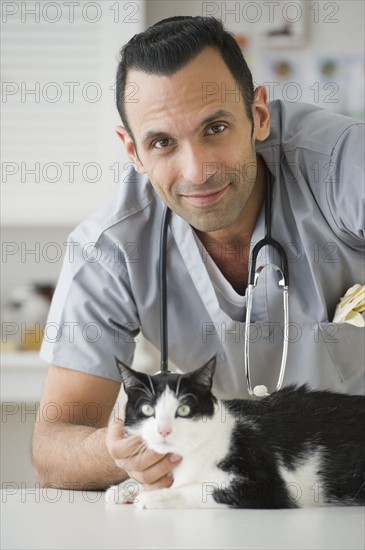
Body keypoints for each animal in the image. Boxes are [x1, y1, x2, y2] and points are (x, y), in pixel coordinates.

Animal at [104, 360, 364, 512]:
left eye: (184, 409)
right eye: (148, 409)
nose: (164, 430)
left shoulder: (270, 486)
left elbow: (207, 489)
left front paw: (155, 497)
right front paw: (128, 488)